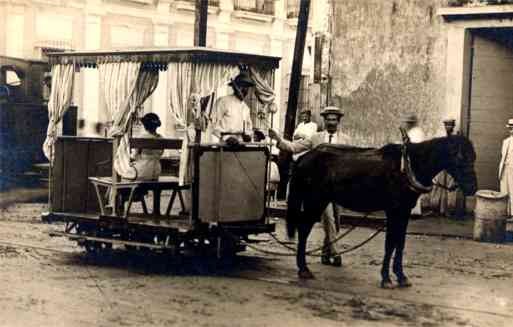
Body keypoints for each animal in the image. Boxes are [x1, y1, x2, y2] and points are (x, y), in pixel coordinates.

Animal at [288, 135, 476, 288]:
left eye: (473, 157)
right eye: (460, 158)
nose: (472, 187)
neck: (407, 168)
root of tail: (303, 158)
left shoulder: (404, 212)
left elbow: (400, 243)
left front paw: (401, 276)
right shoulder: (393, 211)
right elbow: (390, 243)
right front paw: (386, 278)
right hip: (315, 202)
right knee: (304, 229)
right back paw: (303, 268)